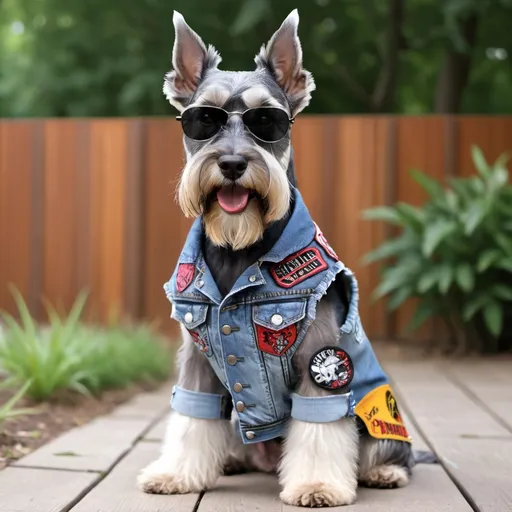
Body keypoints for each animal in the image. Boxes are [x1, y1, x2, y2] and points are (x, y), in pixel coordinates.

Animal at [138, 10, 414, 506]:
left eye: (267, 121)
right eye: (202, 119)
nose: (231, 162)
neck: (239, 250)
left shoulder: (321, 360)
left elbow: (320, 429)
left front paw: (317, 486)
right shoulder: (197, 360)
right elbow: (191, 417)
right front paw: (175, 474)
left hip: (375, 411)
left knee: (385, 450)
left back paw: (385, 472)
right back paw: (231, 461)